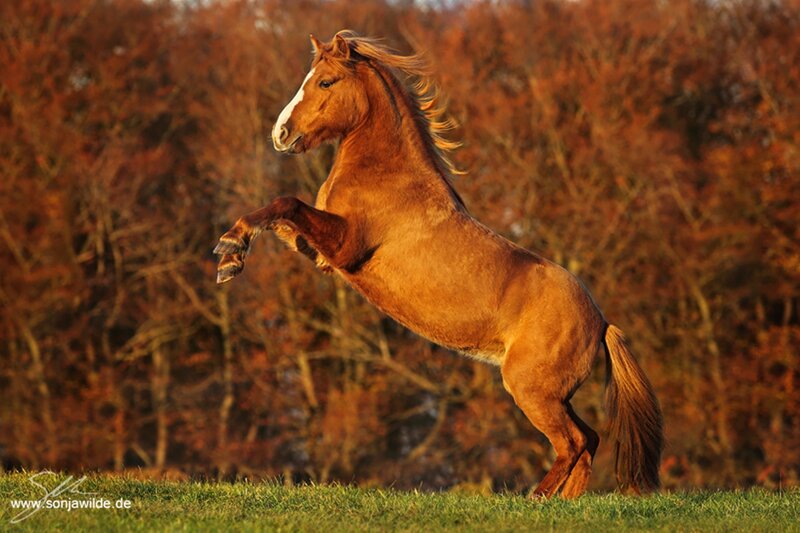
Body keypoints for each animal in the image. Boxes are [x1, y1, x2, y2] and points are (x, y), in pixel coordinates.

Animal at [213, 30, 663, 498]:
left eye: (325, 82)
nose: (280, 134)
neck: (386, 175)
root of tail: (602, 322)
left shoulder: (345, 247)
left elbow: (286, 202)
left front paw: (228, 249)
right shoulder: (322, 255)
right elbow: (279, 213)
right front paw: (230, 257)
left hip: (531, 389)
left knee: (572, 442)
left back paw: (534, 499)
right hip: (554, 394)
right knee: (588, 441)